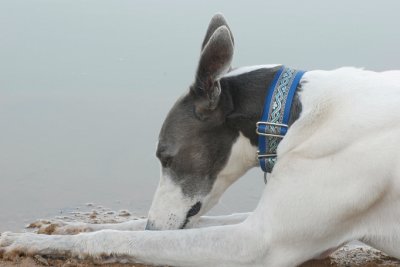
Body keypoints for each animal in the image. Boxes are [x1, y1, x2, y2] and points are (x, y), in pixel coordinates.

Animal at [0, 14, 400, 267]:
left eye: (166, 157)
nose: (154, 227)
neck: (294, 113)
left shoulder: (260, 243)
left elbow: (113, 237)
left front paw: (34, 242)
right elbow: (129, 226)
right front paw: (63, 227)